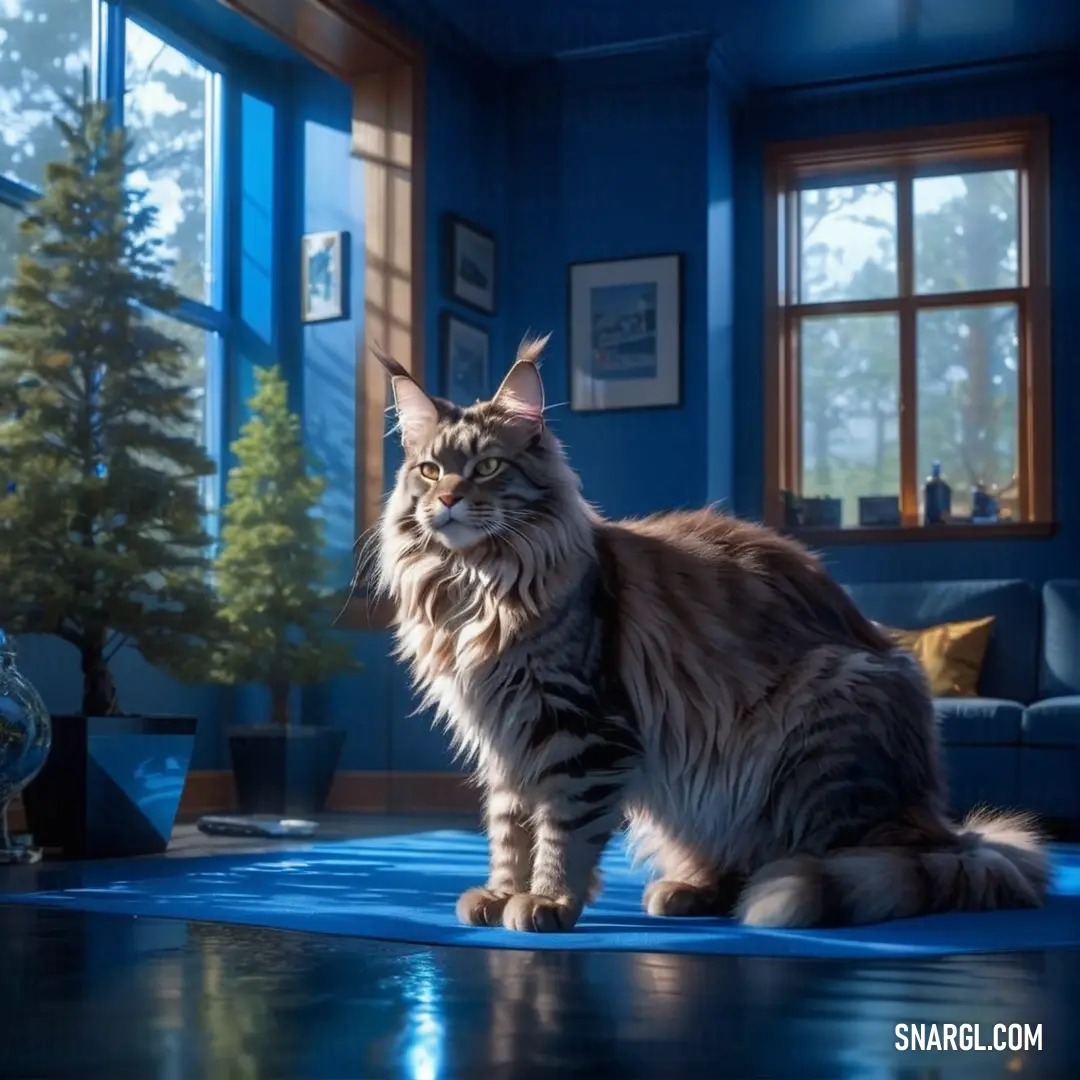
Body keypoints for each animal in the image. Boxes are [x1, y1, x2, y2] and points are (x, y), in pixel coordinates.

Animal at [371, 339, 1045, 937]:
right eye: (429, 470)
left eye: (486, 467)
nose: (448, 499)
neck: (475, 586)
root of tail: (944, 825)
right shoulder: (507, 740)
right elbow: (510, 827)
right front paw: (503, 891)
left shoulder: (580, 727)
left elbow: (562, 827)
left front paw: (547, 900)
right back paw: (692, 891)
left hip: (819, 719)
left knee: (863, 859)